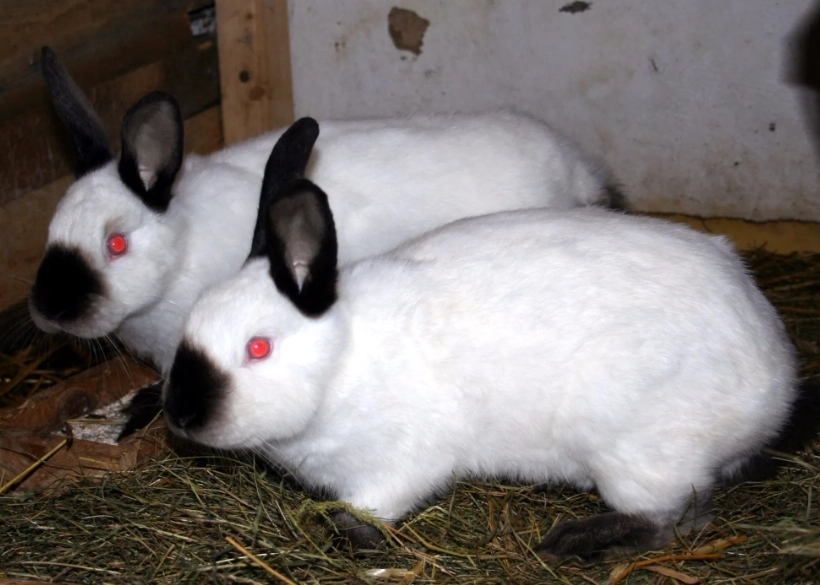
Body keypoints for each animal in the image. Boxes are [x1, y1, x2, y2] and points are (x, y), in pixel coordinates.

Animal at [162, 118, 799, 558]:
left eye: (258, 347)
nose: (181, 415)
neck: (341, 362)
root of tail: (777, 379)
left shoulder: (399, 462)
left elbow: (374, 507)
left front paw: (343, 534)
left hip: (641, 451)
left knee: (671, 519)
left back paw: (571, 541)